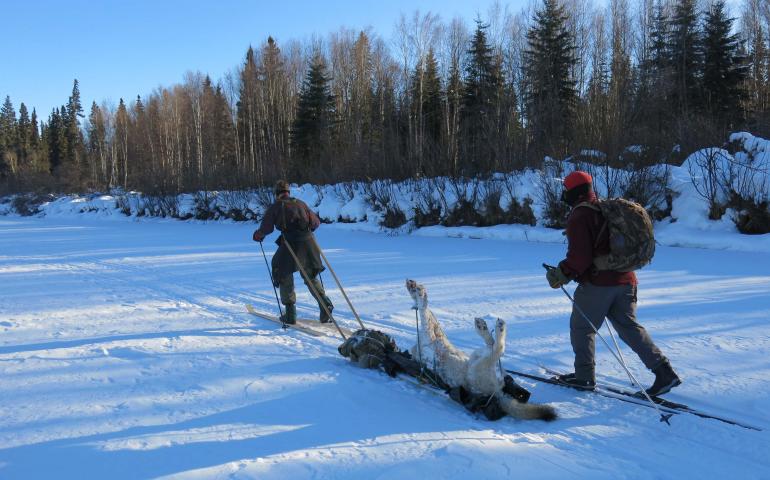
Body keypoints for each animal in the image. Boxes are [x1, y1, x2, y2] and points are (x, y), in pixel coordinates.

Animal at [406, 279, 556, 421]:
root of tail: (498, 393)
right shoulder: (429, 335)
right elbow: (425, 310)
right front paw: (418, 292)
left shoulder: (433, 334)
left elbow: (426, 311)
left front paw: (415, 289)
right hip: (478, 365)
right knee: (498, 348)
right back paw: (496, 328)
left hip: (477, 356)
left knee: (492, 344)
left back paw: (487, 327)